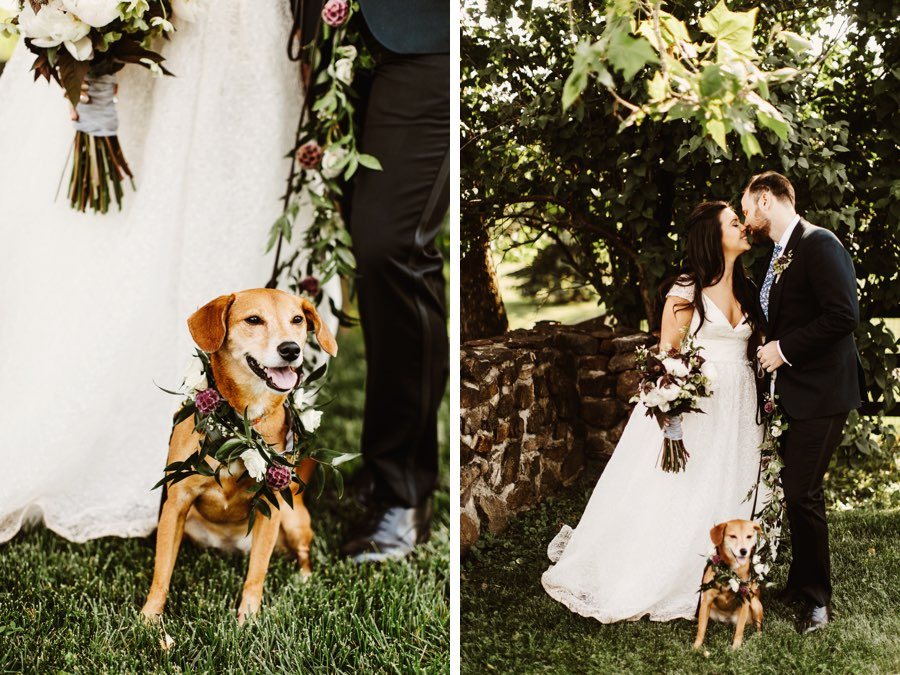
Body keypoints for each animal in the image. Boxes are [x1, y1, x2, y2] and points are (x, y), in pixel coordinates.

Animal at [141, 288, 338, 624]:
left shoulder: (271, 508)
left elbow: (257, 572)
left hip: (293, 519)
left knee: (302, 555)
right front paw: (149, 618)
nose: (291, 349)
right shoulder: (176, 504)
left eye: (297, 319)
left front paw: (248, 619)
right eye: (254, 320)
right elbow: (162, 570)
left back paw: (304, 579)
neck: (242, 419)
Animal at [692, 520, 764, 652]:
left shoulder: (745, 602)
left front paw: (735, 649)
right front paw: (696, 648)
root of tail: (727, 621)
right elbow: (701, 630)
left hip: (755, 605)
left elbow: (739, 631)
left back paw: (758, 637)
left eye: (749, 536)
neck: (730, 574)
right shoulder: (706, 602)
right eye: (733, 536)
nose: (743, 551)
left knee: (758, 626)